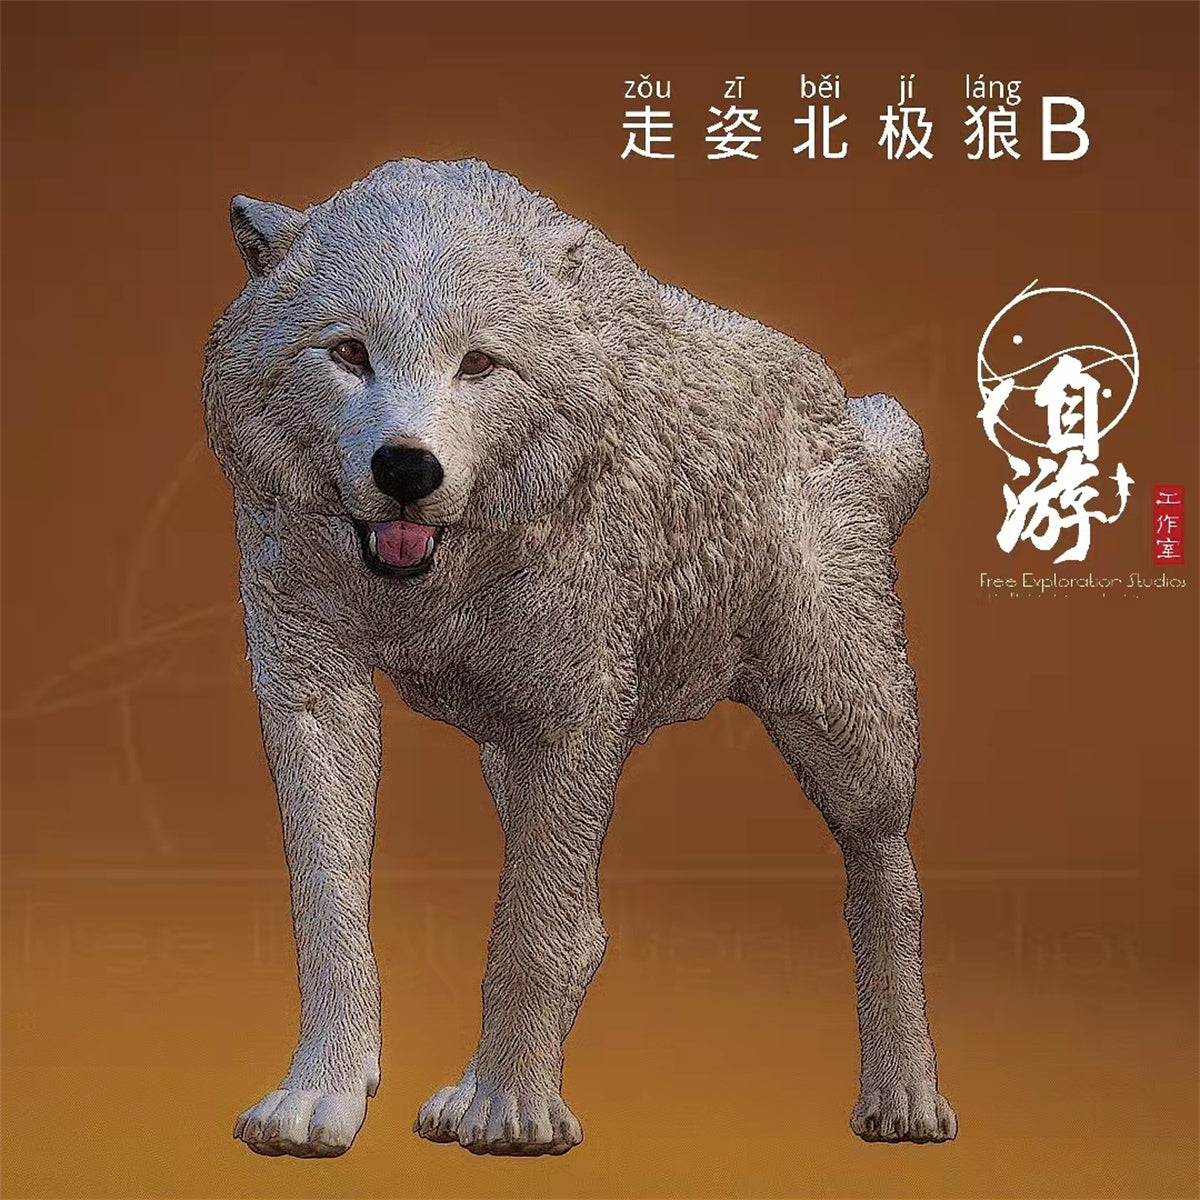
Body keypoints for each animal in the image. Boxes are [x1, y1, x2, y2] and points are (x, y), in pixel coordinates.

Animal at [203, 158, 956, 1159]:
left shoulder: (574, 711)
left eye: (479, 363)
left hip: (839, 723)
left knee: (888, 878)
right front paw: (317, 1099)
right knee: (587, 924)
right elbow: (332, 911)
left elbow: (529, 932)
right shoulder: (312, 691)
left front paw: (514, 1114)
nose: (407, 469)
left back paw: (903, 1097)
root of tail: (851, 412)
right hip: (511, 748)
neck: (437, 583)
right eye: (349, 353)